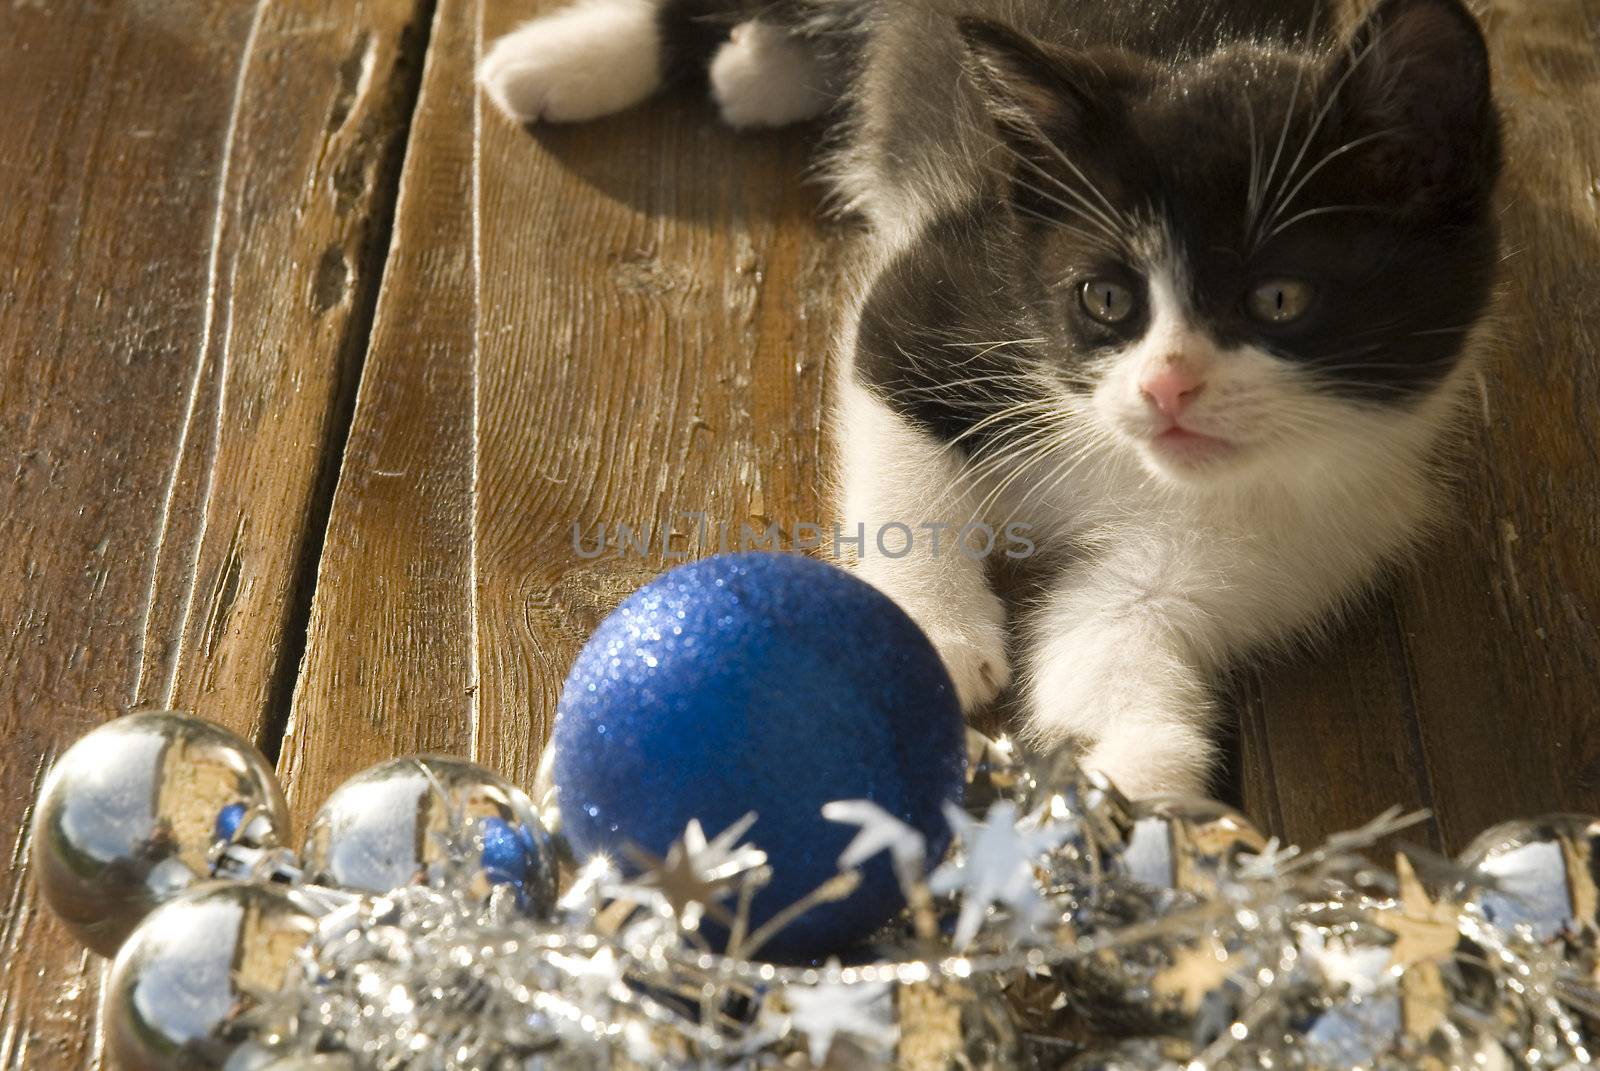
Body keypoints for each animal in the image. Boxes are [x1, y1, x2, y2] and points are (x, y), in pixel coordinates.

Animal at [476, 0, 1497, 797]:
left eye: (1279, 299)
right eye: (1105, 300)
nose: (1166, 385)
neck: (1129, 460)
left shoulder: (1303, 527)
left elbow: (1108, 632)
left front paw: (1139, 777)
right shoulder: (942, 288)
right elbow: (903, 459)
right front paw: (934, 632)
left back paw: (759, 73)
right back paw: (558, 62)